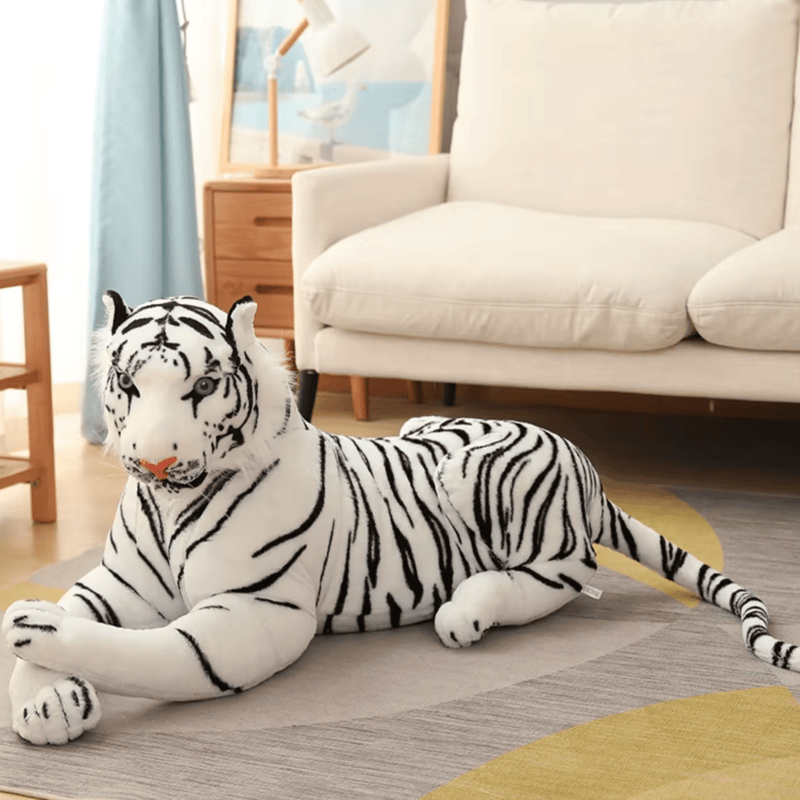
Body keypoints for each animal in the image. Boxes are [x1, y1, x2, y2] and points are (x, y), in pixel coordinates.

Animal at [4, 292, 798, 746]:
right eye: (127, 384)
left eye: (201, 386)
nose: (153, 463)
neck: (171, 506)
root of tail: (584, 461)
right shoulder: (117, 582)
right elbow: (81, 609)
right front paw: (49, 700)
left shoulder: (254, 613)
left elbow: (151, 652)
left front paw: (31, 625)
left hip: (483, 479)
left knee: (568, 572)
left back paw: (466, 612)